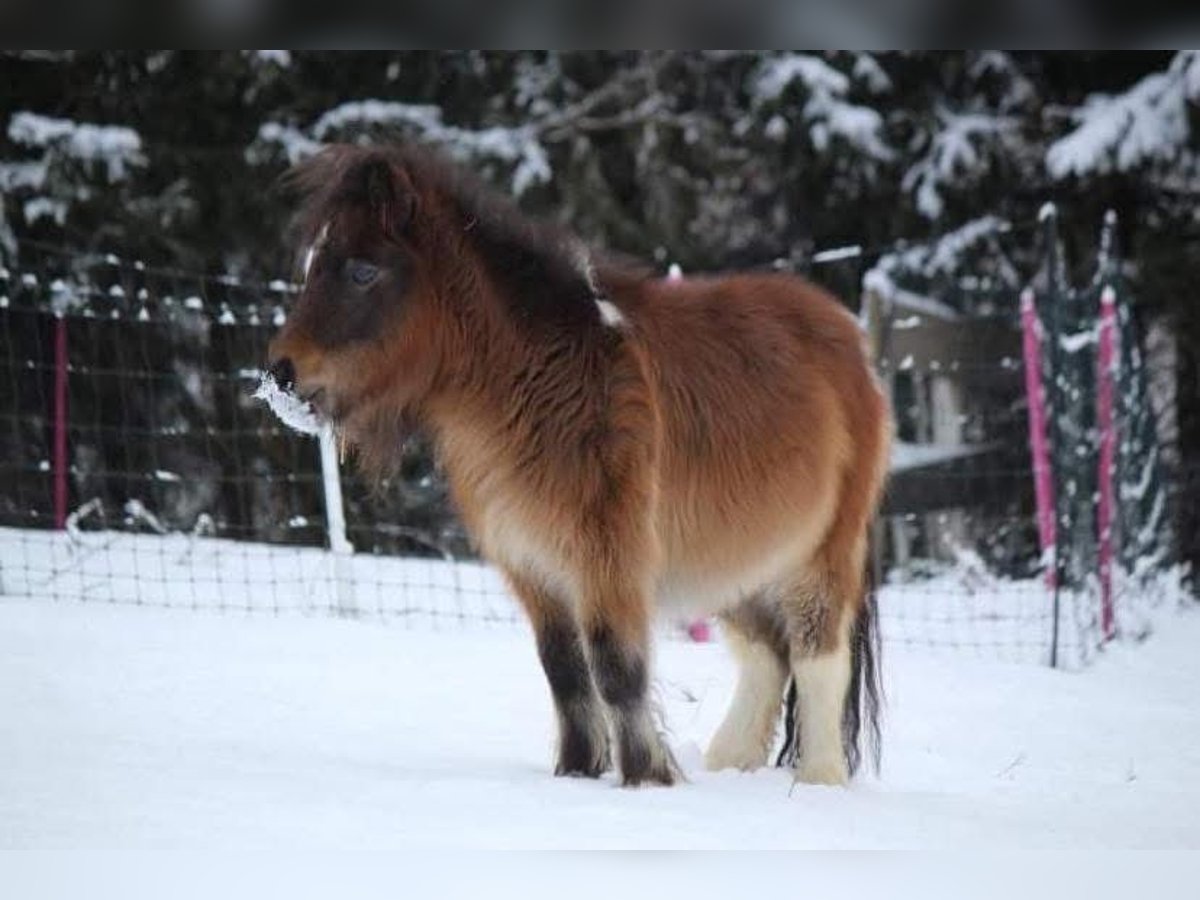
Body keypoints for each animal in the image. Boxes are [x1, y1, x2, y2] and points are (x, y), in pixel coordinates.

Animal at [262, 143, 890, 787]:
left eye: (362, 271)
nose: (279, 376)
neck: (543, 376)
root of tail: (848, 336)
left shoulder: (609, 556)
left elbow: (616, 668)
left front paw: (645, 777)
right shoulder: (533, 567)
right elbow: (564, 672)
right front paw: (578, 772)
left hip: (819, 557)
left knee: (818, 660)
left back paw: (817, 781)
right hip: (739, 562)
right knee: (766, 658)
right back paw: (729, 765)